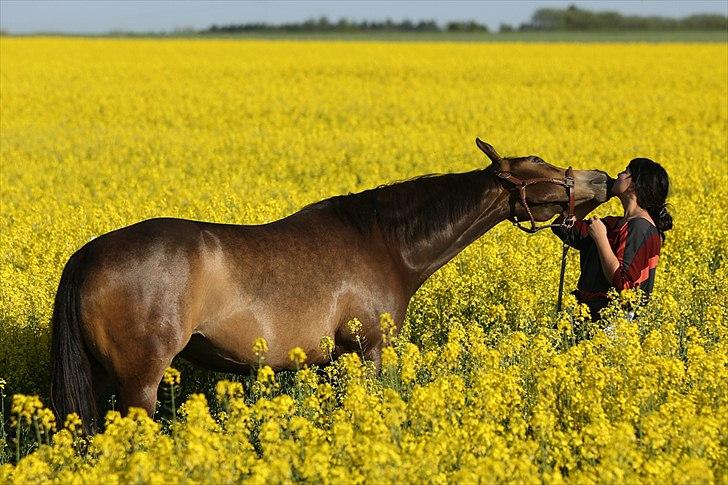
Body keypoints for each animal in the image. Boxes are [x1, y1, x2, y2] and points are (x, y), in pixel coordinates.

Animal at [49, 138, 616, 430]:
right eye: (537, 165)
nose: (604, 179)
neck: (386, 242)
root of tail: (87, 254)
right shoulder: (369, 351)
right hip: (140, 383)